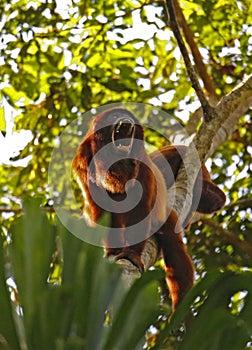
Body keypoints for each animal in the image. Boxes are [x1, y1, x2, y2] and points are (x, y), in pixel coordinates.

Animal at [72, 108, 225, 312]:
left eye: (129, 118)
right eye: (114, 116)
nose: (126, 121)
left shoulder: (143, 162)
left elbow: (141, 208)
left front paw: (131, 255)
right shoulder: (83, 162)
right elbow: (102, 212)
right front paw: (113, 254)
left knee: (174, 247)